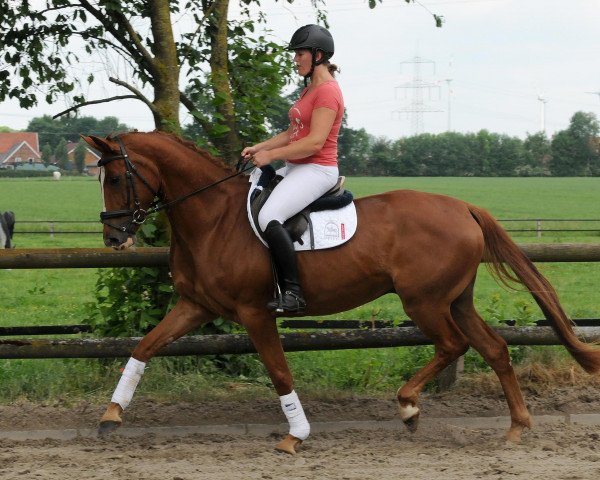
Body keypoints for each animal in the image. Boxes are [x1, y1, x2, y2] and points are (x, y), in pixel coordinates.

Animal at [83, 131, 600, 454]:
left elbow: (279, 372)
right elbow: (143, 347)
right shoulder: (195, 307)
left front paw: (296, 435)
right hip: (456, 300)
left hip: (425, 301)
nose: (114, 238)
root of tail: (463, 206)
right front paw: (110, 415)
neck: (213, 219)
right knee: (493, 348)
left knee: (453, 345)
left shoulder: (255, 312)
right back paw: (516, 427)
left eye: (116, 178)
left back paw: (409, 405)